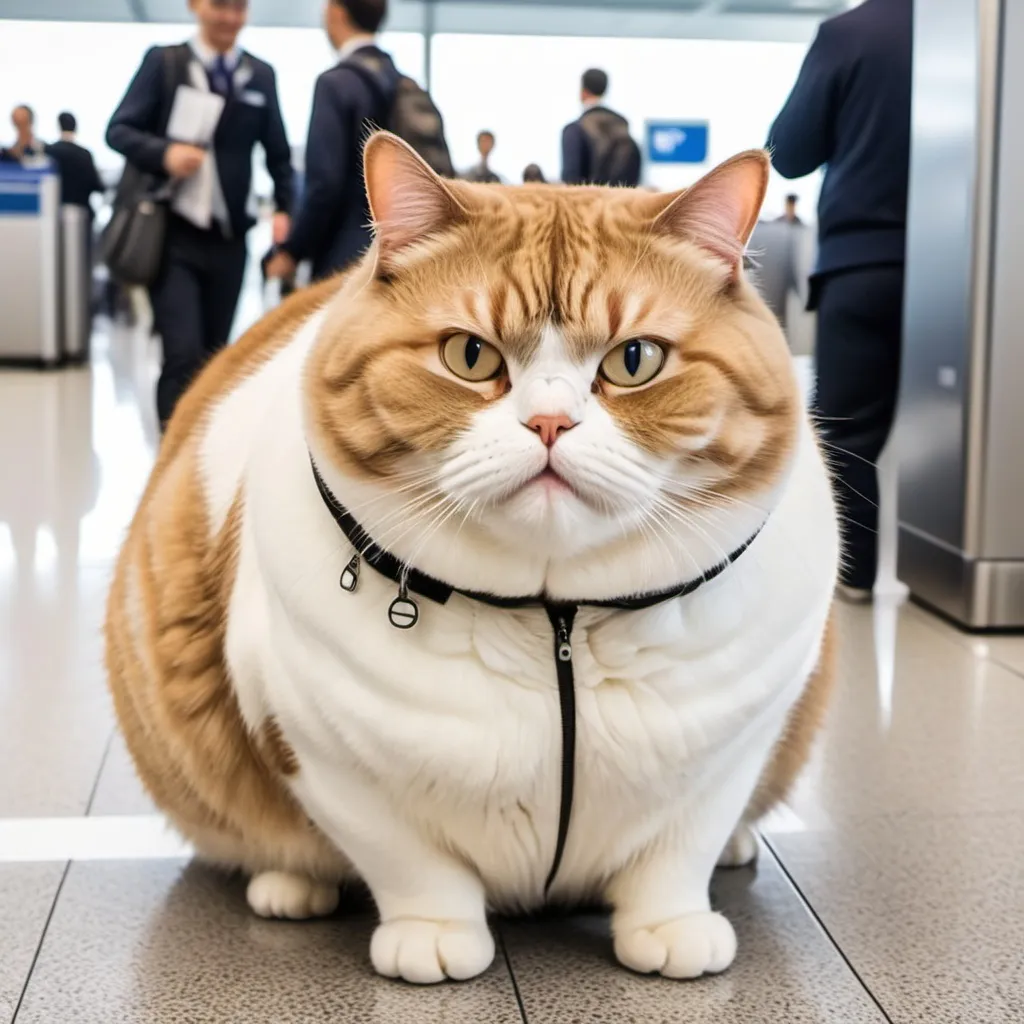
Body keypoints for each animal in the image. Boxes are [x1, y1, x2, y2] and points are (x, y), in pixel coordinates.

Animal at [105, 136, 839, 983]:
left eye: (634, 361)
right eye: (469, 355)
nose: (549, 422)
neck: (556, 623)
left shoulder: (735, 752)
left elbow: (678, 848)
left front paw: (674, 924)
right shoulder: (321, 758)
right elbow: (410, 860)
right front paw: (431, 934)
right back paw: (289, 884)